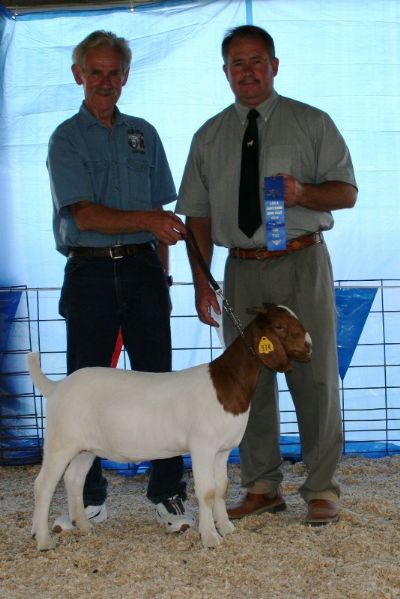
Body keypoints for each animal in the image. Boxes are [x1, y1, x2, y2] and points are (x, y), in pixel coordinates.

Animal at [28, 304, 312, 552]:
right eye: (280, 326)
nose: (309, 346)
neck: (227, 383)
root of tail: (56, 387)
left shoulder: (222, 450)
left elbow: (221, 488)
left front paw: (226, 528)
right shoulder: (202, 447)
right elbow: (207, 492)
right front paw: (210, 537)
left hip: (85, 447)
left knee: (73, 480)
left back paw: (85, 527)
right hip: (60, 440)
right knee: (43, 485)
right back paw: (43, 540)